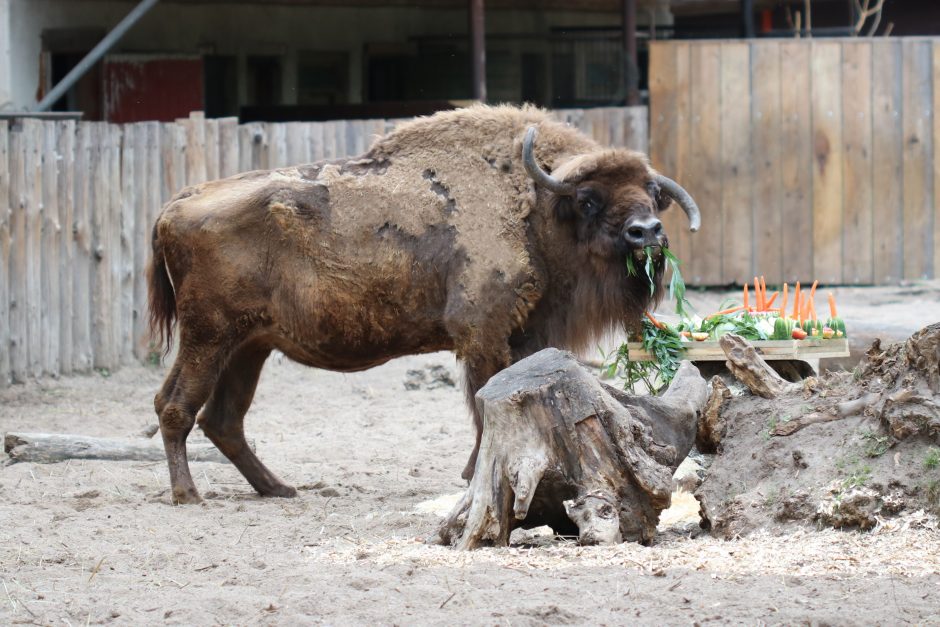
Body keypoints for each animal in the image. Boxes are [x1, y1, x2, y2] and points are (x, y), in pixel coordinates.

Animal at [147, 104, 696, 506]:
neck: (536, 208)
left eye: (652, 193)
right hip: (208, 336)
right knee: (175, 406)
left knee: (222, 420)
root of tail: (176, 204)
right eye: (588, 199)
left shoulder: (522, 337)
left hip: (248, 347)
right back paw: (189, 495)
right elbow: (482, 405)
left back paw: (278, 489)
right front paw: (474, 473)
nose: (646, 232)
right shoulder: (483, 337)